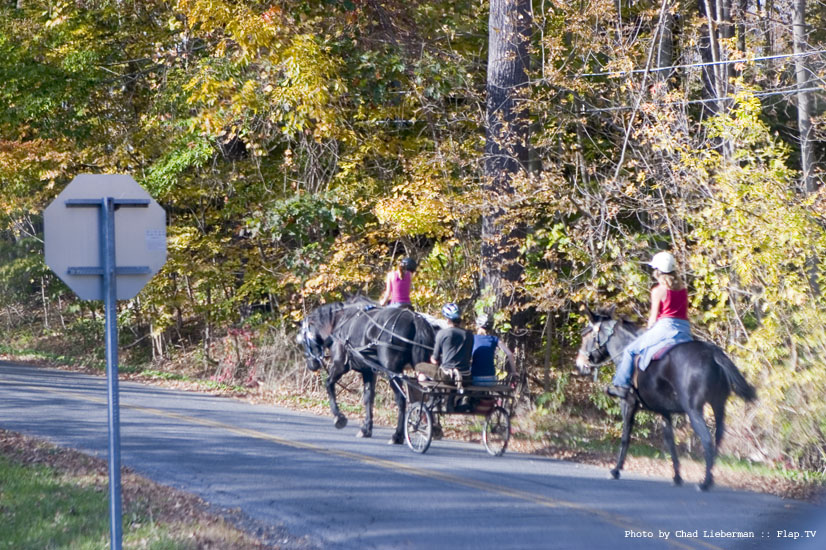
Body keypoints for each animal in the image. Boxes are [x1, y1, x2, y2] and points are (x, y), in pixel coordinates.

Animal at [298, 300, 438, 446]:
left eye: (303, 339)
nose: (311, 365)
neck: (339, 322)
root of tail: (415, 319)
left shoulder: (339, 365)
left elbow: (329, 384)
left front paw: (339, 417)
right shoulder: (368, 371)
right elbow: (368, 398)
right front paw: (366, 429)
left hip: (392, 371)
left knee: (401, 399)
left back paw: (398, 435)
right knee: (429, 394)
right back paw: (430, 427)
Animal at [572, 308, 752, 494]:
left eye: (586, 335)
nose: (579, 364)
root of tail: (712, 353)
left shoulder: (628, 403)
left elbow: (625, 436)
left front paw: (616, 470)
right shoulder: (665, 412)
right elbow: (670, 441)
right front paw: (677, 476)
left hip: (694, 410)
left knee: (707, 440)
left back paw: (705, 482)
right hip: (719, 406)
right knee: (717, 438)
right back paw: (710, 477)